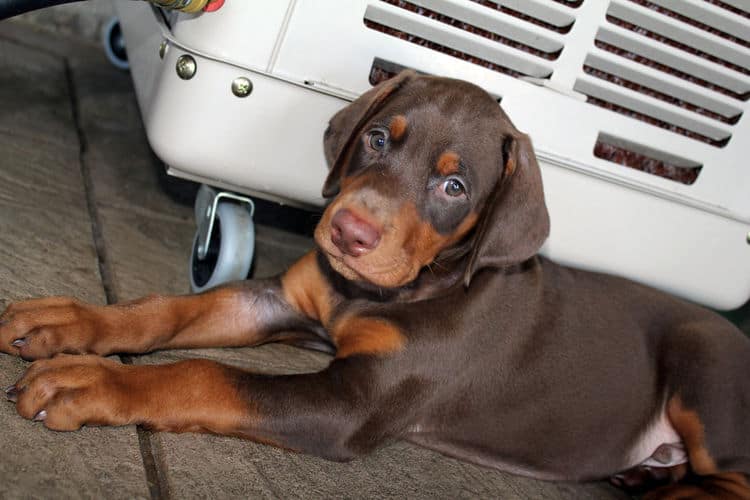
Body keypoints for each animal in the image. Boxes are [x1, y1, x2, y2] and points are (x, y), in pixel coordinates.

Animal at [1, 71, 750, 500]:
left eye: (455, 186)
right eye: (380, 141)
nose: (349, 232)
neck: (399, 289)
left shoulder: (352, 404)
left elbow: (205, 374)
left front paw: (91, 380)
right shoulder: (285, 299)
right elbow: (166, 309)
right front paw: (69, 323)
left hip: (706, 370)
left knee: (734, 476)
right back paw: (649, 474)